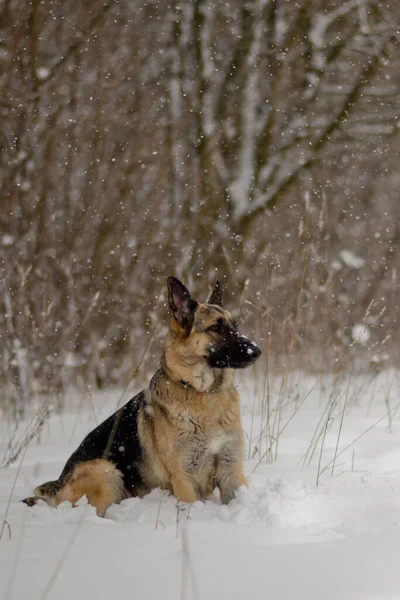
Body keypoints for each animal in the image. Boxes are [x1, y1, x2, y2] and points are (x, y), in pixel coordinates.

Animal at [23, 276, 260, 516]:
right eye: (216, 328)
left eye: (235, 325)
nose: (257, 351)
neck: (204, 393)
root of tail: (56, 486)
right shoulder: (185, 480)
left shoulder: (231, 472)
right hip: (106, 471)